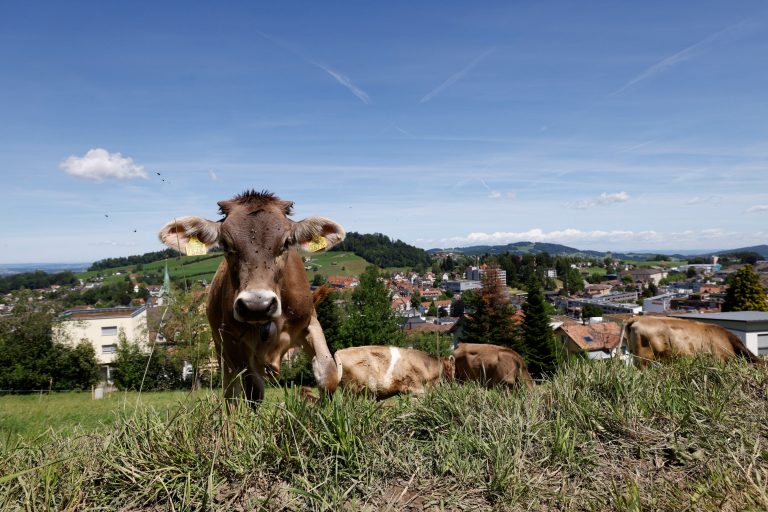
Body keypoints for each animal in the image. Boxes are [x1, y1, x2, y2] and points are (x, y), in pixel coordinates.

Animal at [158, 190, 345, 405]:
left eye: (286, 242)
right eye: (226, 244)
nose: (257, 305)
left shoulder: (309, 321)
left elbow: (328, 374)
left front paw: (315, 404)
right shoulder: (234, 342)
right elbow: (253, 391)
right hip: (220, 346)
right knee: (231, 391)